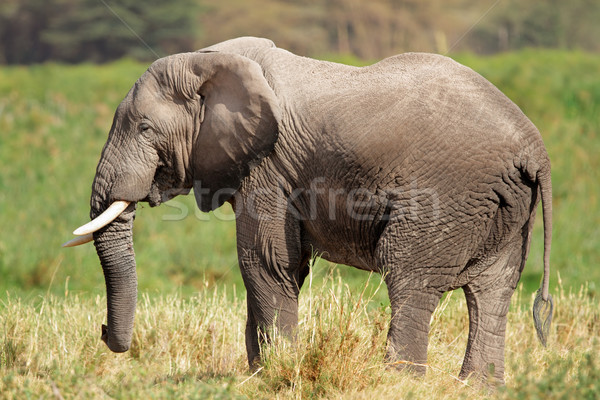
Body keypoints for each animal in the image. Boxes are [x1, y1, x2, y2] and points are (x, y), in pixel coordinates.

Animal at [67, 37, 552, 384]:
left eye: (145, 128)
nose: (105, 333)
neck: (209, 61)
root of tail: (534, 150)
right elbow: (281, 266)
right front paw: (259, 373)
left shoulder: (268, 166)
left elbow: (265, 262)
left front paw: (276, 373)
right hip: (505, 207)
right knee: (493, 291)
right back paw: (477, 387)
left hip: (448, 196)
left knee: (410, 277)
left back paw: (399, 382)